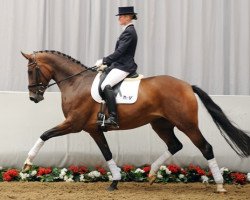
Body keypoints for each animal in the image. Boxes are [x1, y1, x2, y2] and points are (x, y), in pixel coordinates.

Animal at [21, 50, 250, 191]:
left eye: (31, 70)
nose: (34, 98)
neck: (76, 82)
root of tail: (187, 85)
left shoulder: (73, 124)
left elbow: (44, 134)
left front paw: (27, 163)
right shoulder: (94, 130)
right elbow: (107, 153)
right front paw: (115, 182)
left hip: (187, 124)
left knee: (206, 147)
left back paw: (219, 185)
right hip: (160, 124)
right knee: (175, 145)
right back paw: (152, 174)